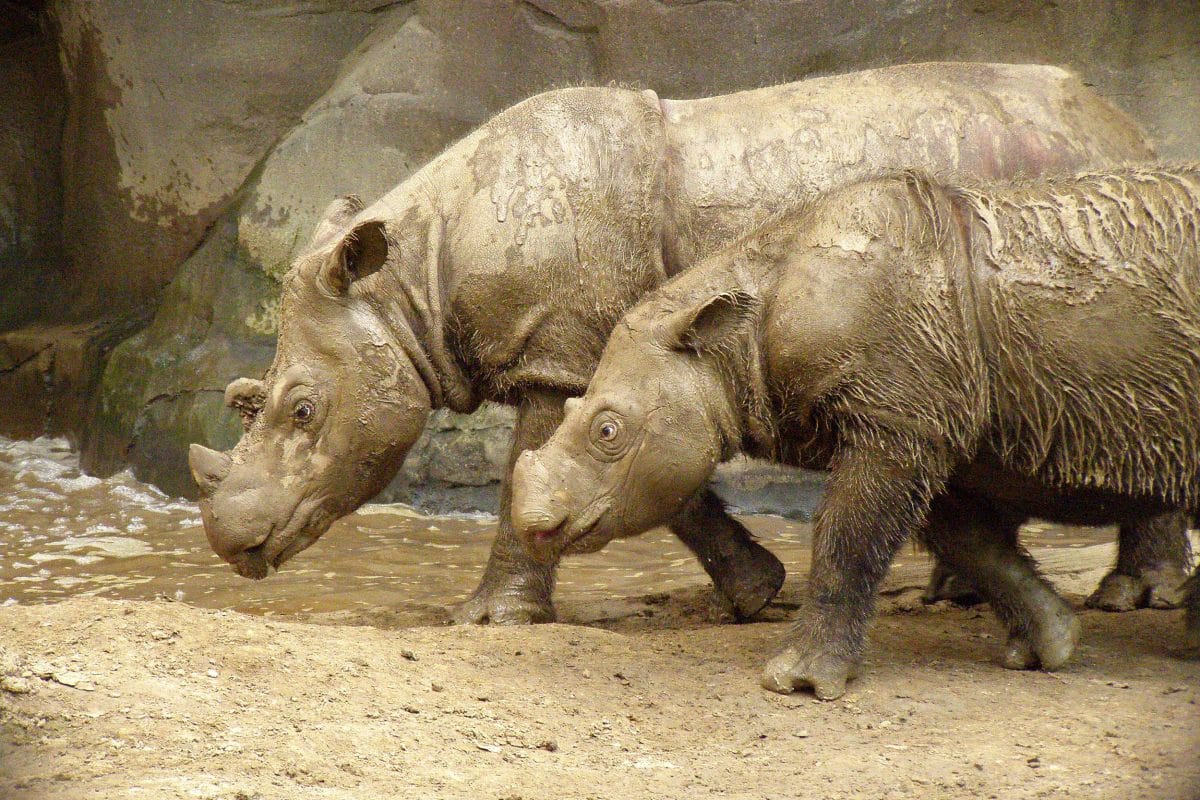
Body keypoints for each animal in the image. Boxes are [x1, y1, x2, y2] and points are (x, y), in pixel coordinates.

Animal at [187, 61, 1188, 626]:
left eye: (301, 410)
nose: (231, 544)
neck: (412, 285)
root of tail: (1128, 123)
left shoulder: (565, 348)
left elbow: (540, 471)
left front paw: (488, 619)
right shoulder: (630, 350)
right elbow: (660, 480)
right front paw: (754, 593)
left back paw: (1133, 598)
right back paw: (959, 593)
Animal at [510, 165, 1200, 699]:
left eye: (608, 431)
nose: (533, 525)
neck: (729, 339)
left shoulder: (895, 422)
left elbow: (847, 538)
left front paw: (797, 683)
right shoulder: (925, 422)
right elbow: (969, 539)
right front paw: (1048, 647)